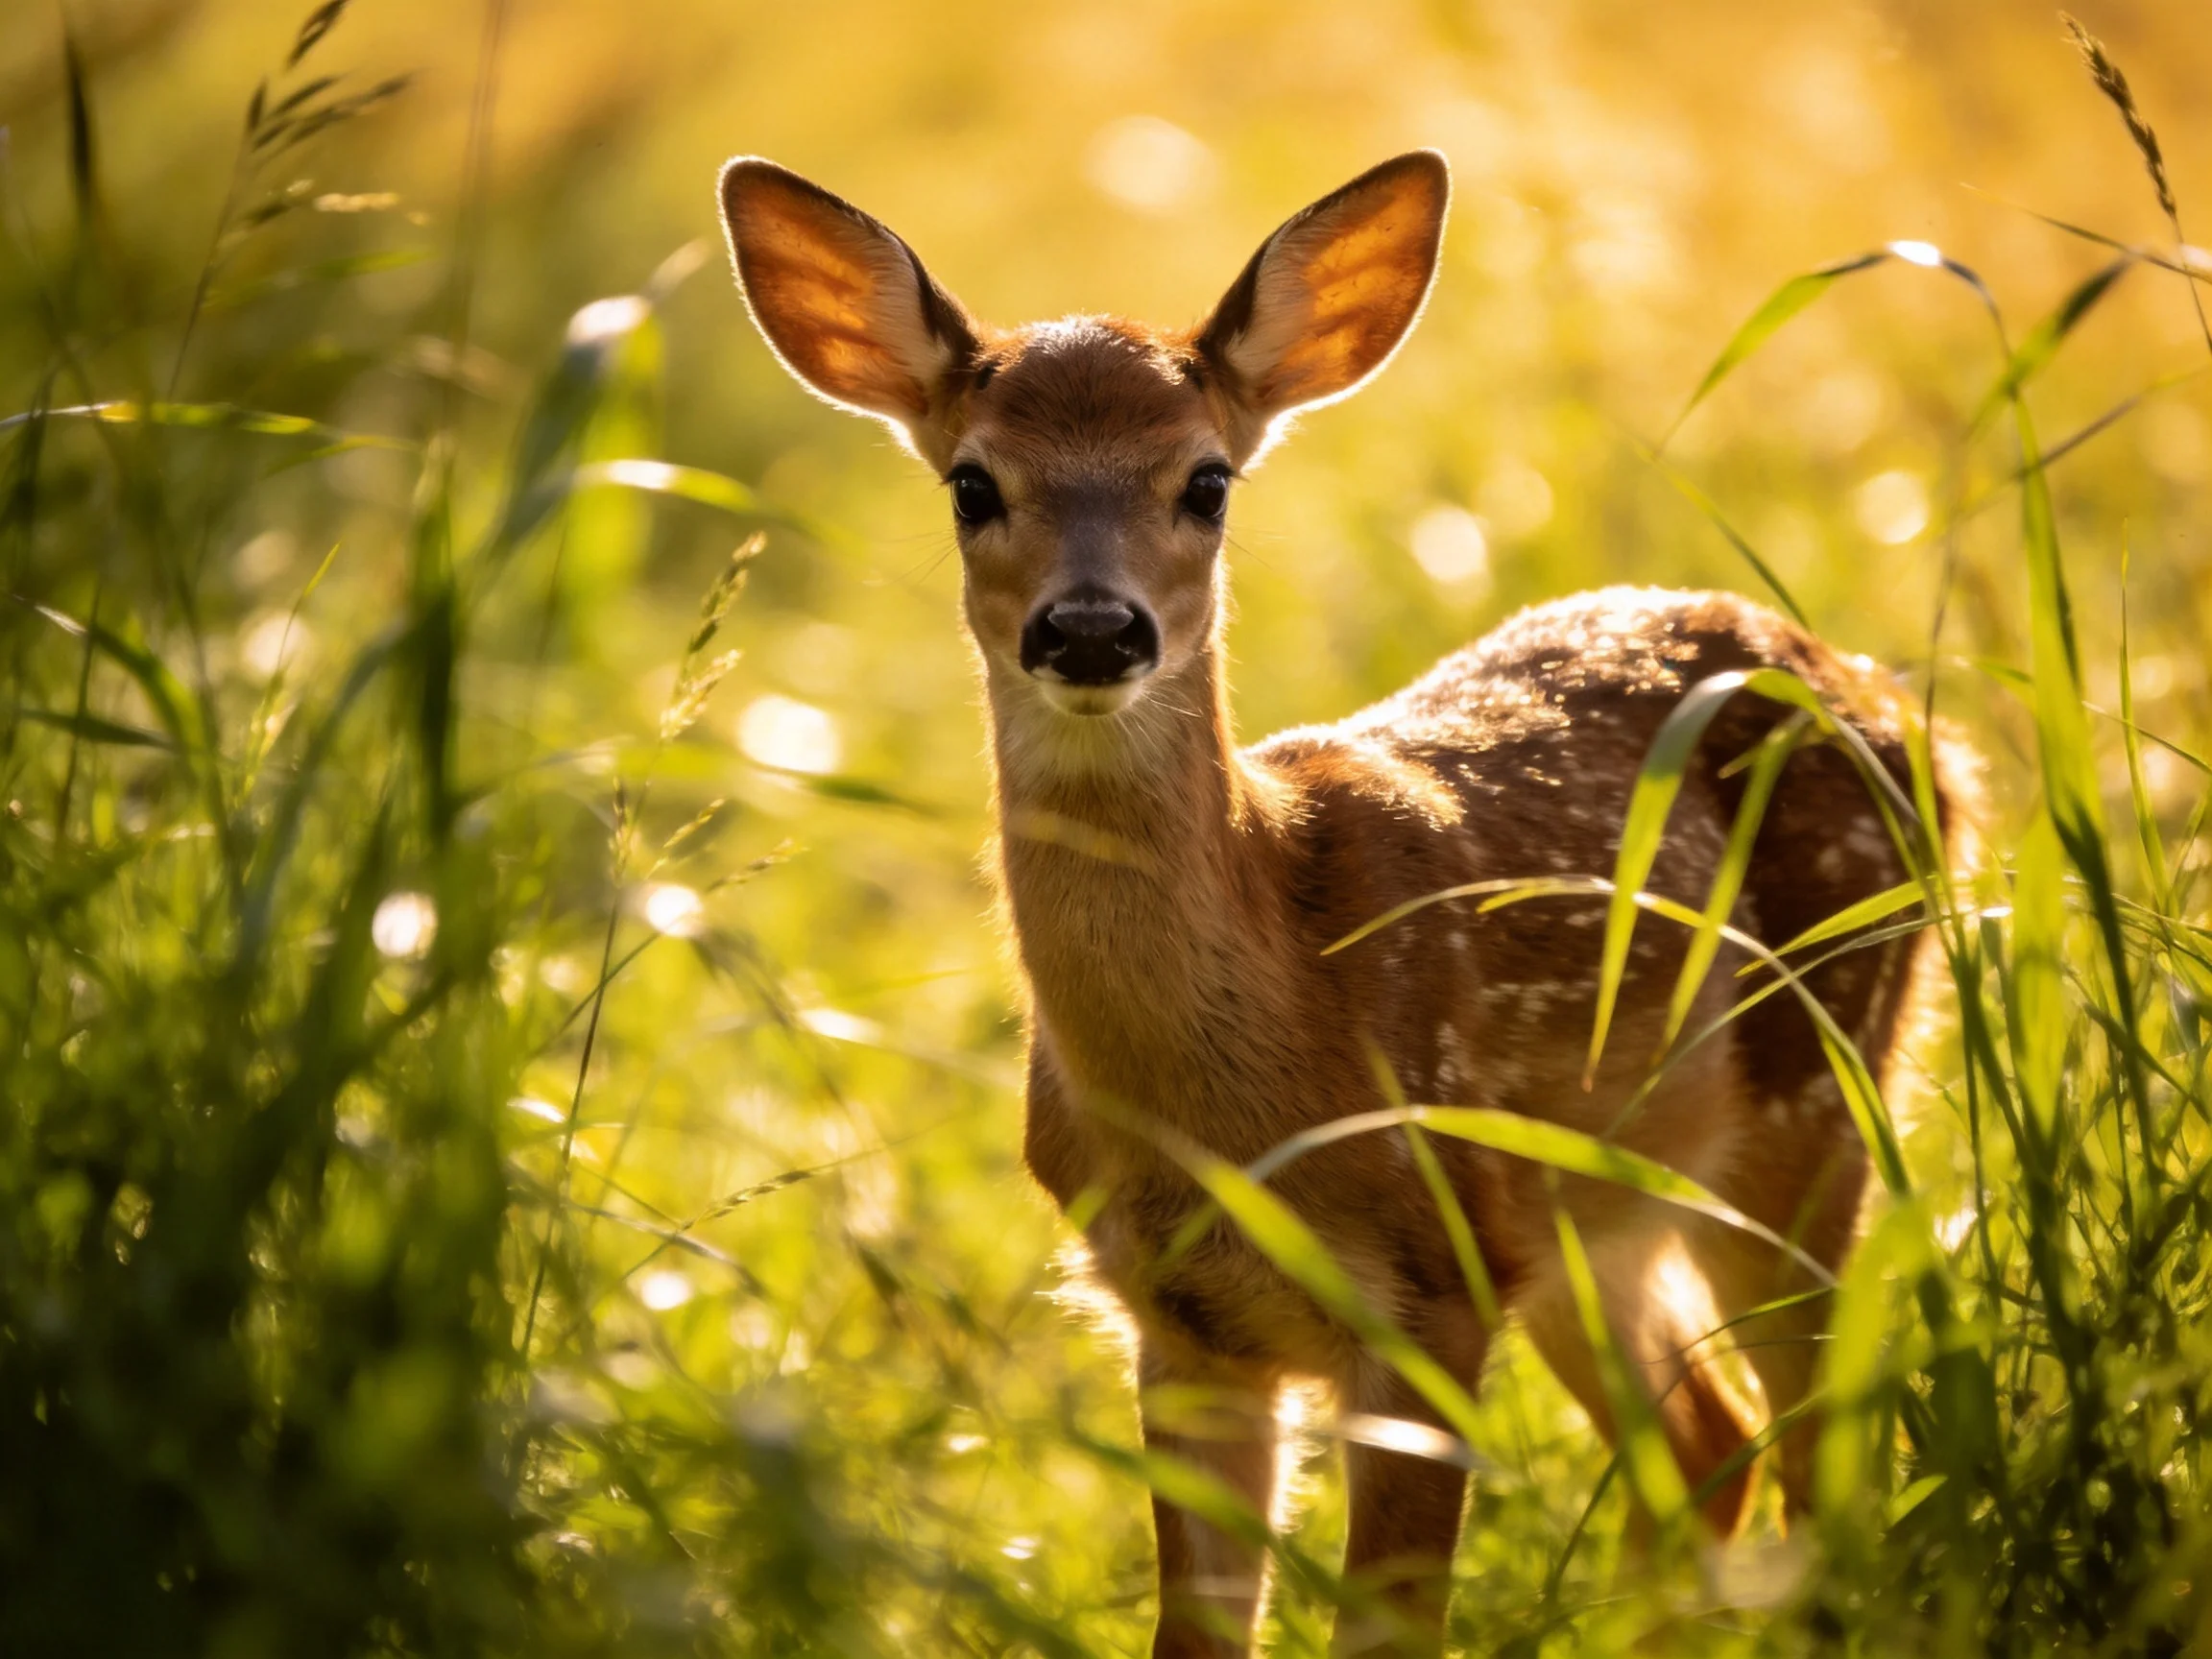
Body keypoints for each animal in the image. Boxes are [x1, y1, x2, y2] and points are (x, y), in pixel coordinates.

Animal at [716, 150, 1960, 1657]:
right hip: (1588, 1221)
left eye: (1207, 481)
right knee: (1709, 1455)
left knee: (1822, 1455)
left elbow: (1388, 1623)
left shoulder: (1431, 1289)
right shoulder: (1181, 1324)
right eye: (971, 483)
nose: (1091, 630)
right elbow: (1192, 1633)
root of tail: (1902, 709)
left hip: (1817, 1095)